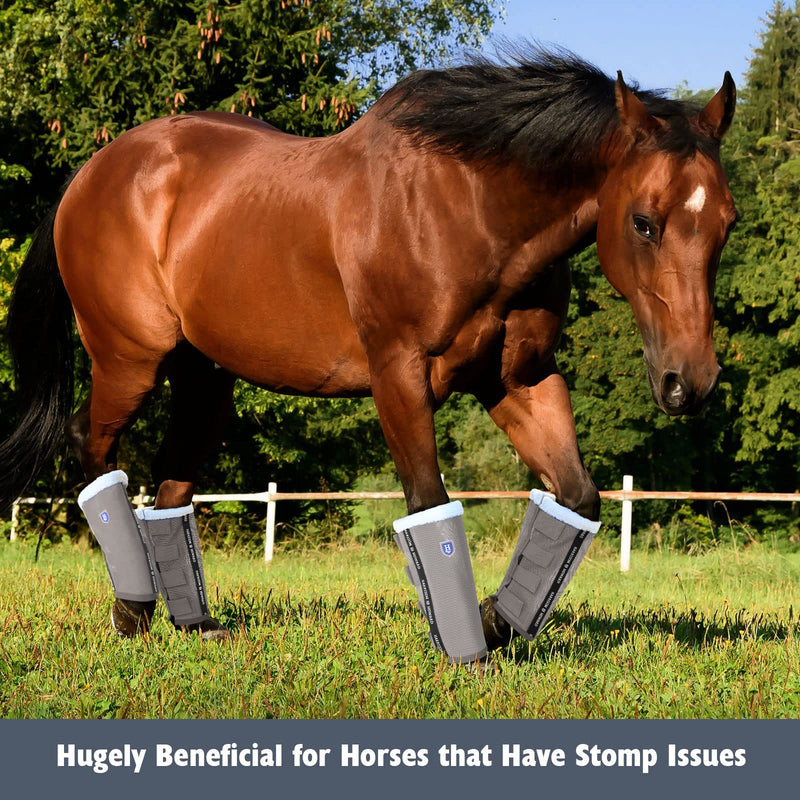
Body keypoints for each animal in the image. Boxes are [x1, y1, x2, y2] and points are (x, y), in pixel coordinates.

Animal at [0, 48, 737, 650]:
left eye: (727, 223)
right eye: (644, 223)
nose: (690, 382)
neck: (468, 207)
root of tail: (92, 172)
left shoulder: (519, 381)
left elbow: (578, 498)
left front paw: (499, 620)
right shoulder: (399, 376)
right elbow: (428, 505)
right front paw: (467, 650)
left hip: (205, 380)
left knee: (171, 484)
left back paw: (195, 624)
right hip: (130, 362)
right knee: (93, 451)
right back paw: (132, 609)